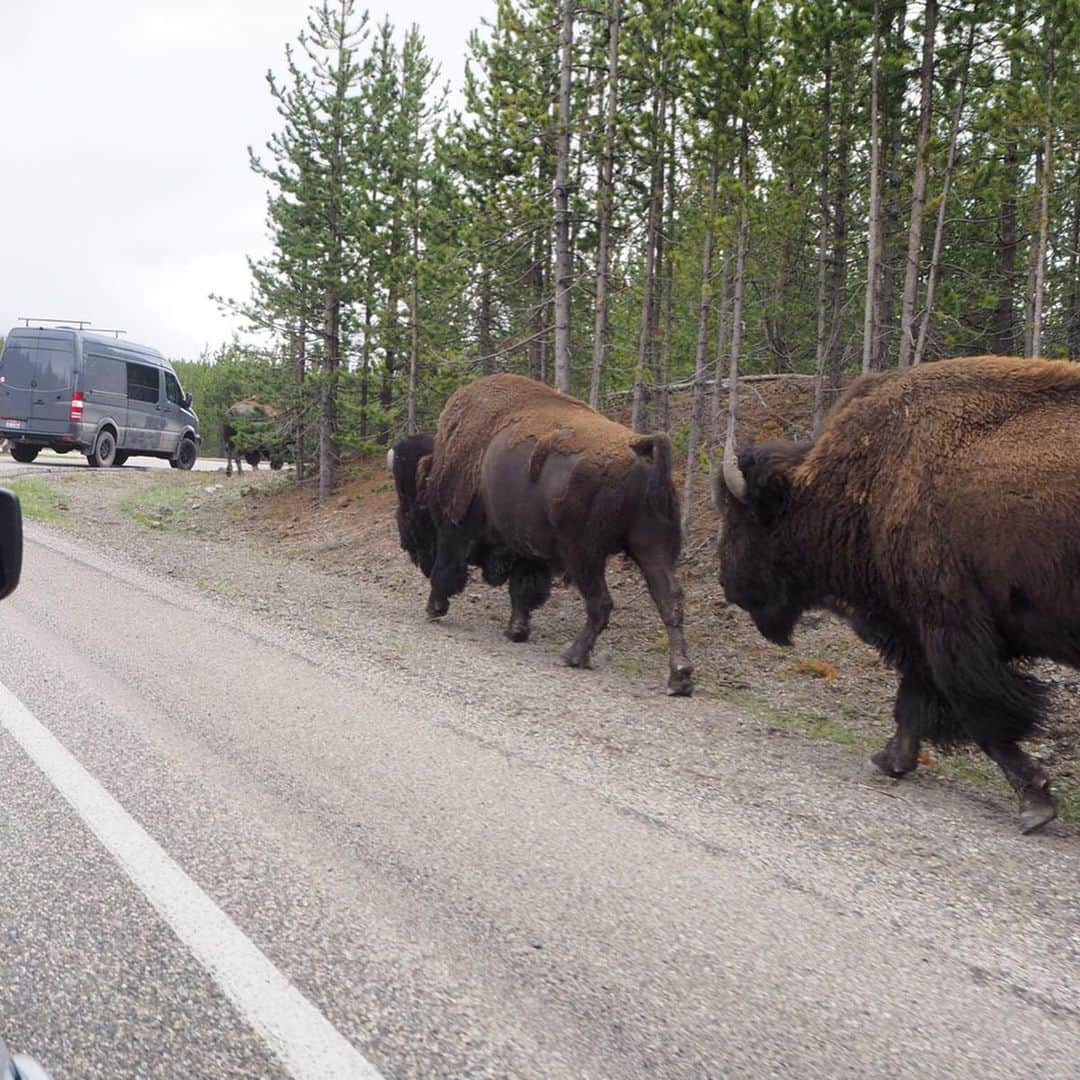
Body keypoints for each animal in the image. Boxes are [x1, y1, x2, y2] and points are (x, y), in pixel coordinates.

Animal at [388, 375, 691, 695]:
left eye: (411, 505)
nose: (405, 543)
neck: (440, 463)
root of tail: (641, 446)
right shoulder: (528, 551)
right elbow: (523, 589)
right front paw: (516, 631)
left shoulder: (454, 530)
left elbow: (446, 572)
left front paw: (434, 609)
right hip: (652, 548)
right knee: (670, 601)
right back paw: (680, 677)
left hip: (585, 555)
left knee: (601, 602)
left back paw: (573, 656)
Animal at [717, 356, 1080, 833]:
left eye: (743, 520)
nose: (726, 582)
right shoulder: (918, 631)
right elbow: (913, 699)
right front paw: (890, 759)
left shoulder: (946, 625)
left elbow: (978, 712)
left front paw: (1035, 804)